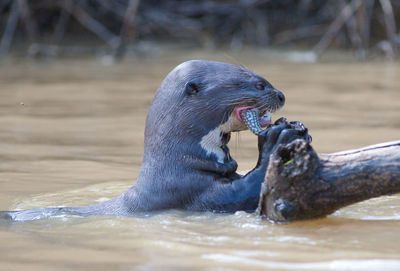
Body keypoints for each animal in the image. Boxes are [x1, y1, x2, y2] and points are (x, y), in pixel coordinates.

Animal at [0, 60, 310, 222]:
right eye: (259, 84)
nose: (281, 95)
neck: (178, 164)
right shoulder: (189, 189)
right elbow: (245, 190)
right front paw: (279, 137)